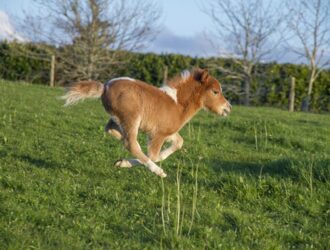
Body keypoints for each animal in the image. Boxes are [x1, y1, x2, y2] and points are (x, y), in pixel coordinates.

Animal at [62, 69, 232, 178]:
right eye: (215, 92)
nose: (228, 108)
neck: (178, 104)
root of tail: (105, 87)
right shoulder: (158, 134)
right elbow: (153, 155)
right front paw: (128, 163)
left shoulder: (166, 132)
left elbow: (179, 142)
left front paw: (122, 162)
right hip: (132, 118)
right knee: (131, 144)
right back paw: (157, 171)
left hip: (120, 119)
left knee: (112, 130)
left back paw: (120, 143)